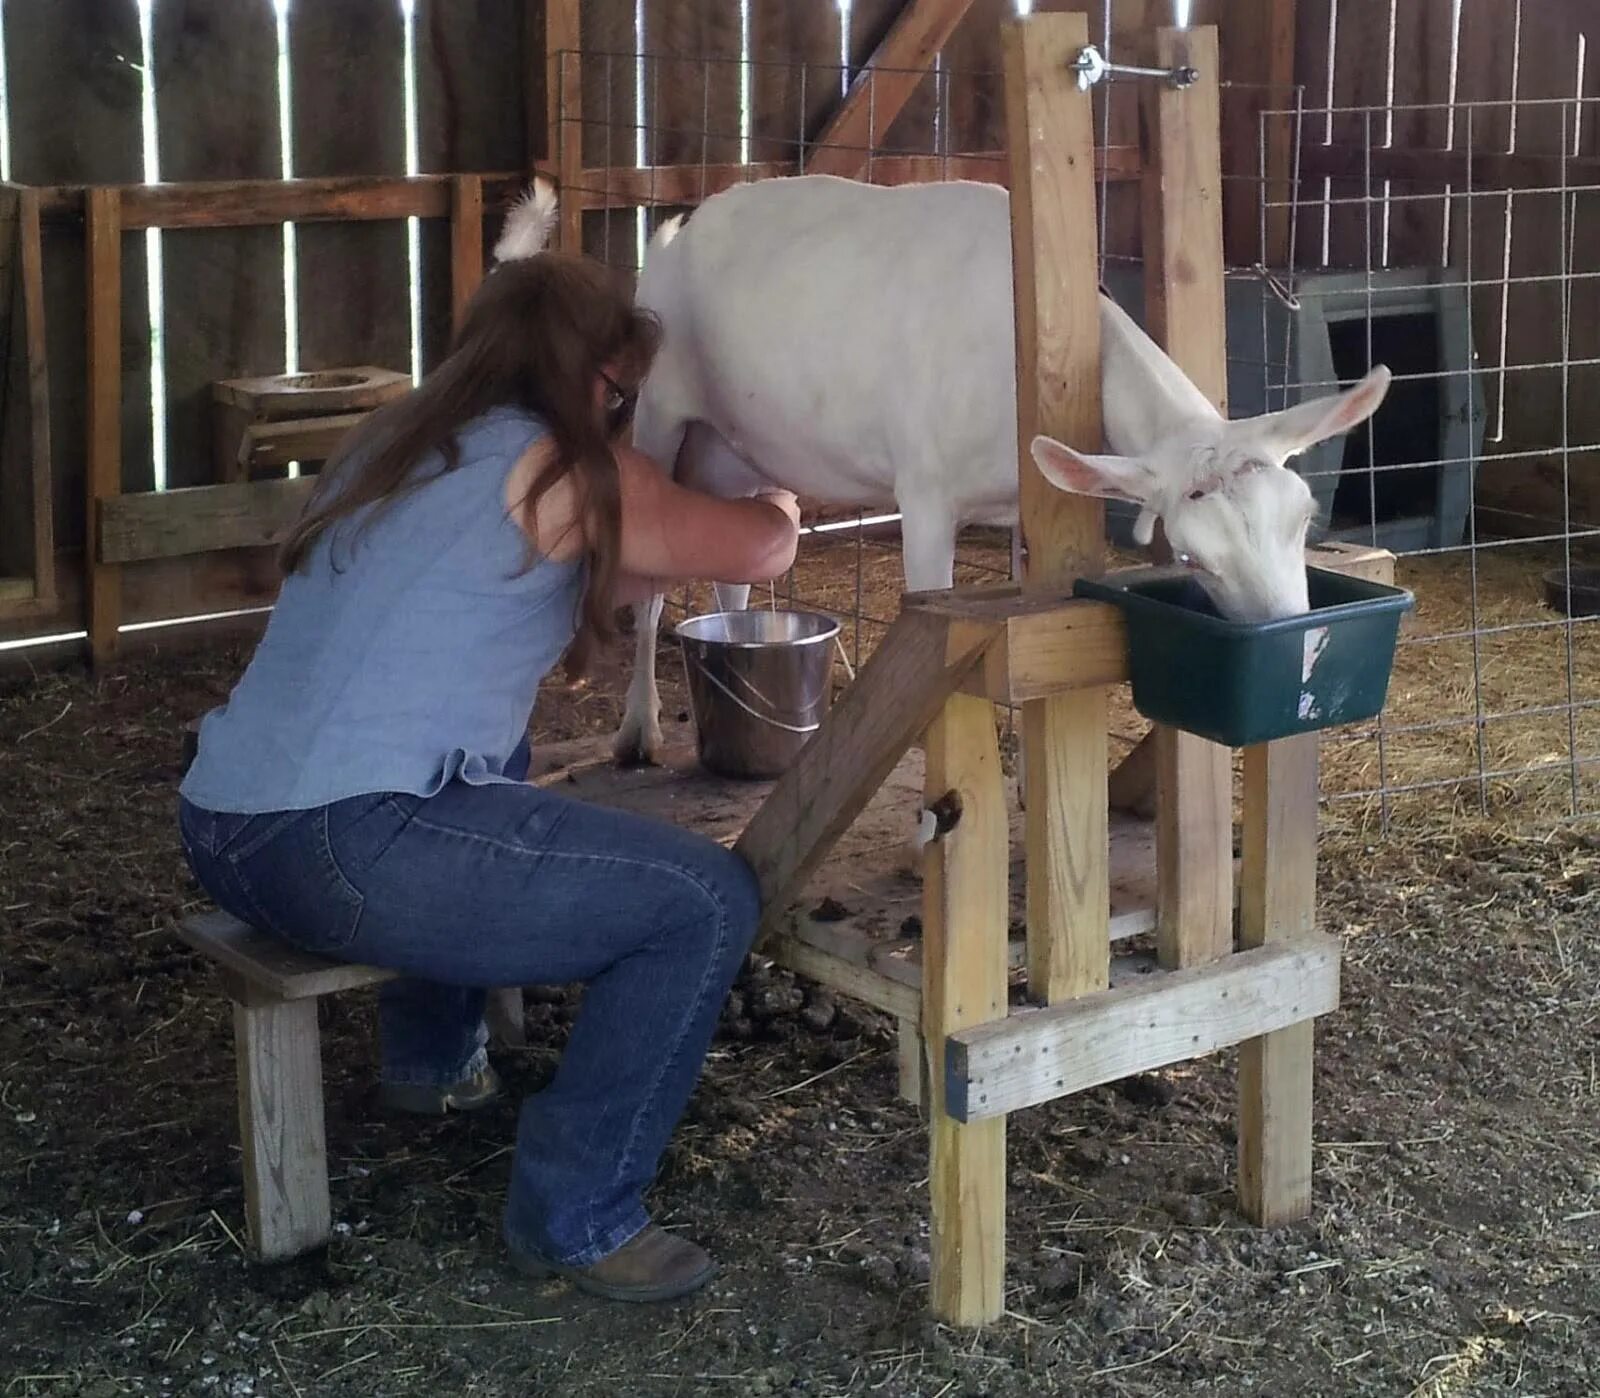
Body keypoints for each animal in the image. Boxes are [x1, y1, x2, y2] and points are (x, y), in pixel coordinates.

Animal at [492, 174, 1395, 767]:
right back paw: (638, 731)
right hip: (660, 412)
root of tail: (677, 229)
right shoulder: (924, 492)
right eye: (1193, 555)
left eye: (1302, 520)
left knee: (731, 580)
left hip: (733, 449)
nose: (1297, 645)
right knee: (649, 584)